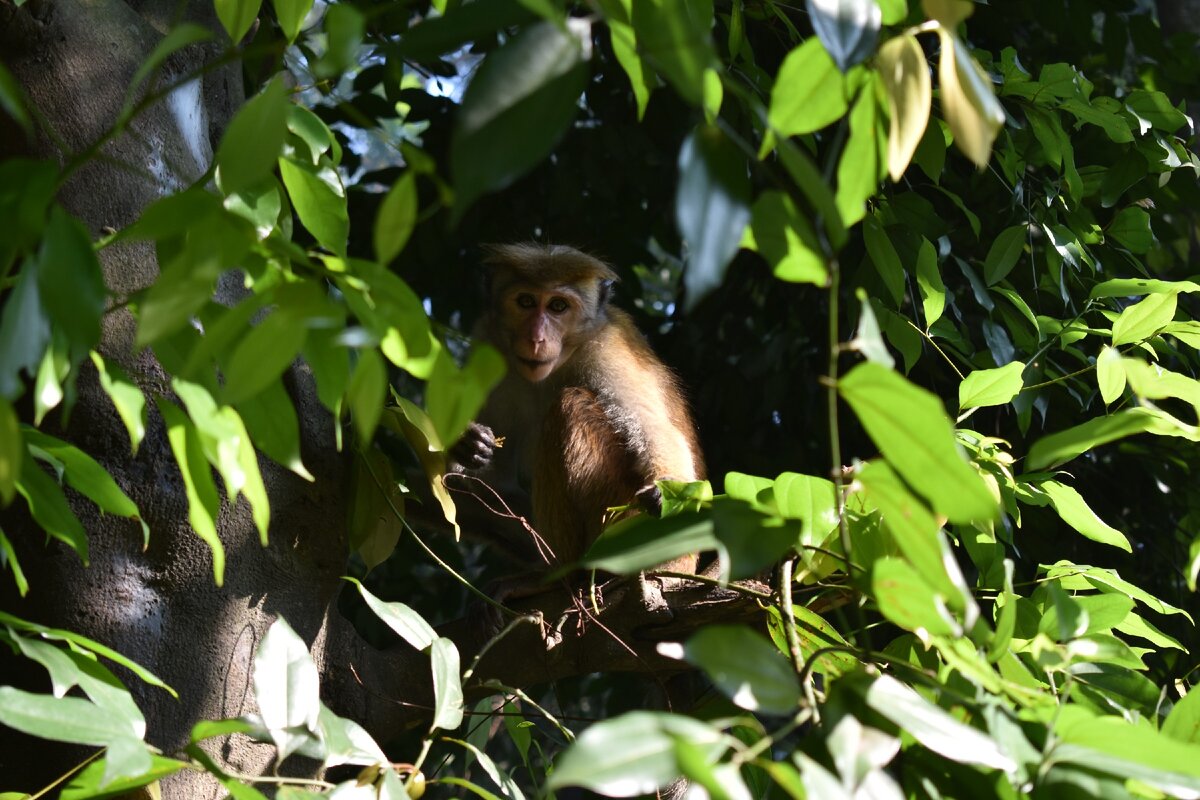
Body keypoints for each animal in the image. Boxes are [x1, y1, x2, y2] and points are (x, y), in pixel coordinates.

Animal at [453, 244, 700, 568]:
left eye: (558, 306)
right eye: (526, 301)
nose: (536, 338)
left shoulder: (607, 348)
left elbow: (652, 428)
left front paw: (667, 487)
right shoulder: (488, 346)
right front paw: (466, 444)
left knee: (570, 404)